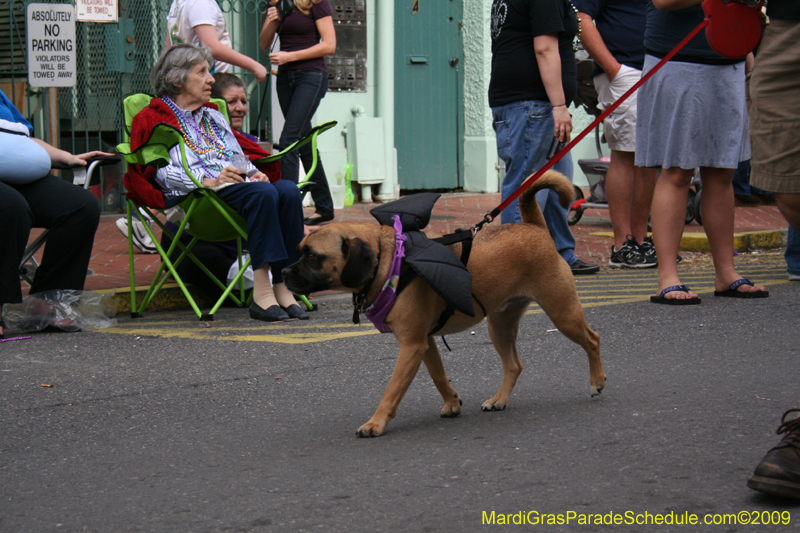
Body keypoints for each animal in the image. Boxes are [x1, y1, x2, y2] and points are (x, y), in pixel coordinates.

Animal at [284, 170, 604, 436]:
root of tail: (535, 228)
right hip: (500, 325)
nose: (284, 273)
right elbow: (438, 375)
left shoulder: (411, 346)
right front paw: (452, 402)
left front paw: (376, 423)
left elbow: (392, 390)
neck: (390, 261)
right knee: (514, 365)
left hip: (562, 313)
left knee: (592, 340)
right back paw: (499, 400)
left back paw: (597, 381)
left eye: (312, 256)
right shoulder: (424, 343)